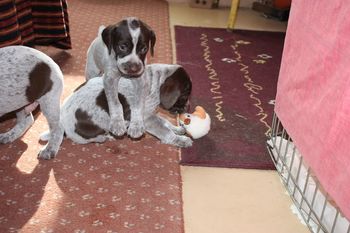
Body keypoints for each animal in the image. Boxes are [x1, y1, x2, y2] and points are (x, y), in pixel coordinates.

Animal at [43, 63, 194, 147]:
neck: (155, 83)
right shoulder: (147, 119)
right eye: (185, 95)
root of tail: (63, 125)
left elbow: (165, 122)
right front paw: (181, 140)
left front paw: (177, 128)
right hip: (93, 130)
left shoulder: (151, 114)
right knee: (94, 139)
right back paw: (107, 137)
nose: (188, 107)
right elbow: (165, 132)